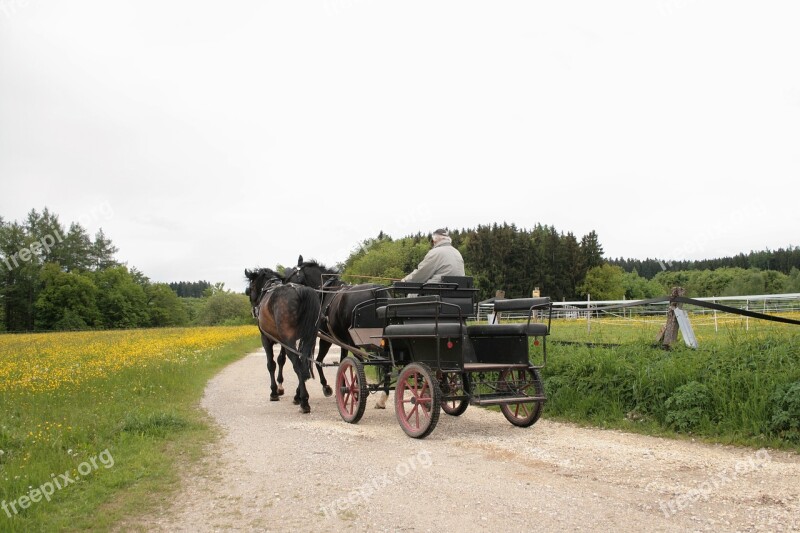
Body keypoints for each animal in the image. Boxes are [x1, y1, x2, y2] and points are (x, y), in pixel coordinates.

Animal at [245, 268, 320, 414]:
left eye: (250, 288)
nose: (253, 309)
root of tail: (300, 292)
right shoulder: (283, 342)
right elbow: (281, 360)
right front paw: (280, 386)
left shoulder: (266, 339)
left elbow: (271, 364)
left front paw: (274, 391)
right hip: (307, 339)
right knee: (304, 364)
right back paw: (298, 396)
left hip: (289, 340)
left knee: (298, 365)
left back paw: (304, 401)